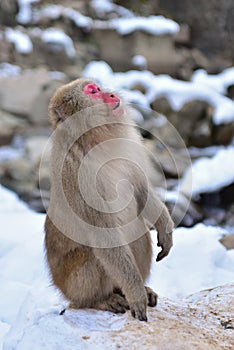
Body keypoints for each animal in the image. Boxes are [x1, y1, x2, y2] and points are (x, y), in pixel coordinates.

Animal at [45, 78, 174, 322]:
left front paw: (165, 229)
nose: (112, 95)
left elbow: (141, 188)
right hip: (70, 282)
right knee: (94, 256)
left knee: (138, 235)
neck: (94, 139)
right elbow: (102, 233)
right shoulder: (76, 175)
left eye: (97, 87)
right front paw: (136, 295)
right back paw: (100, 299)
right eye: (93, 92)